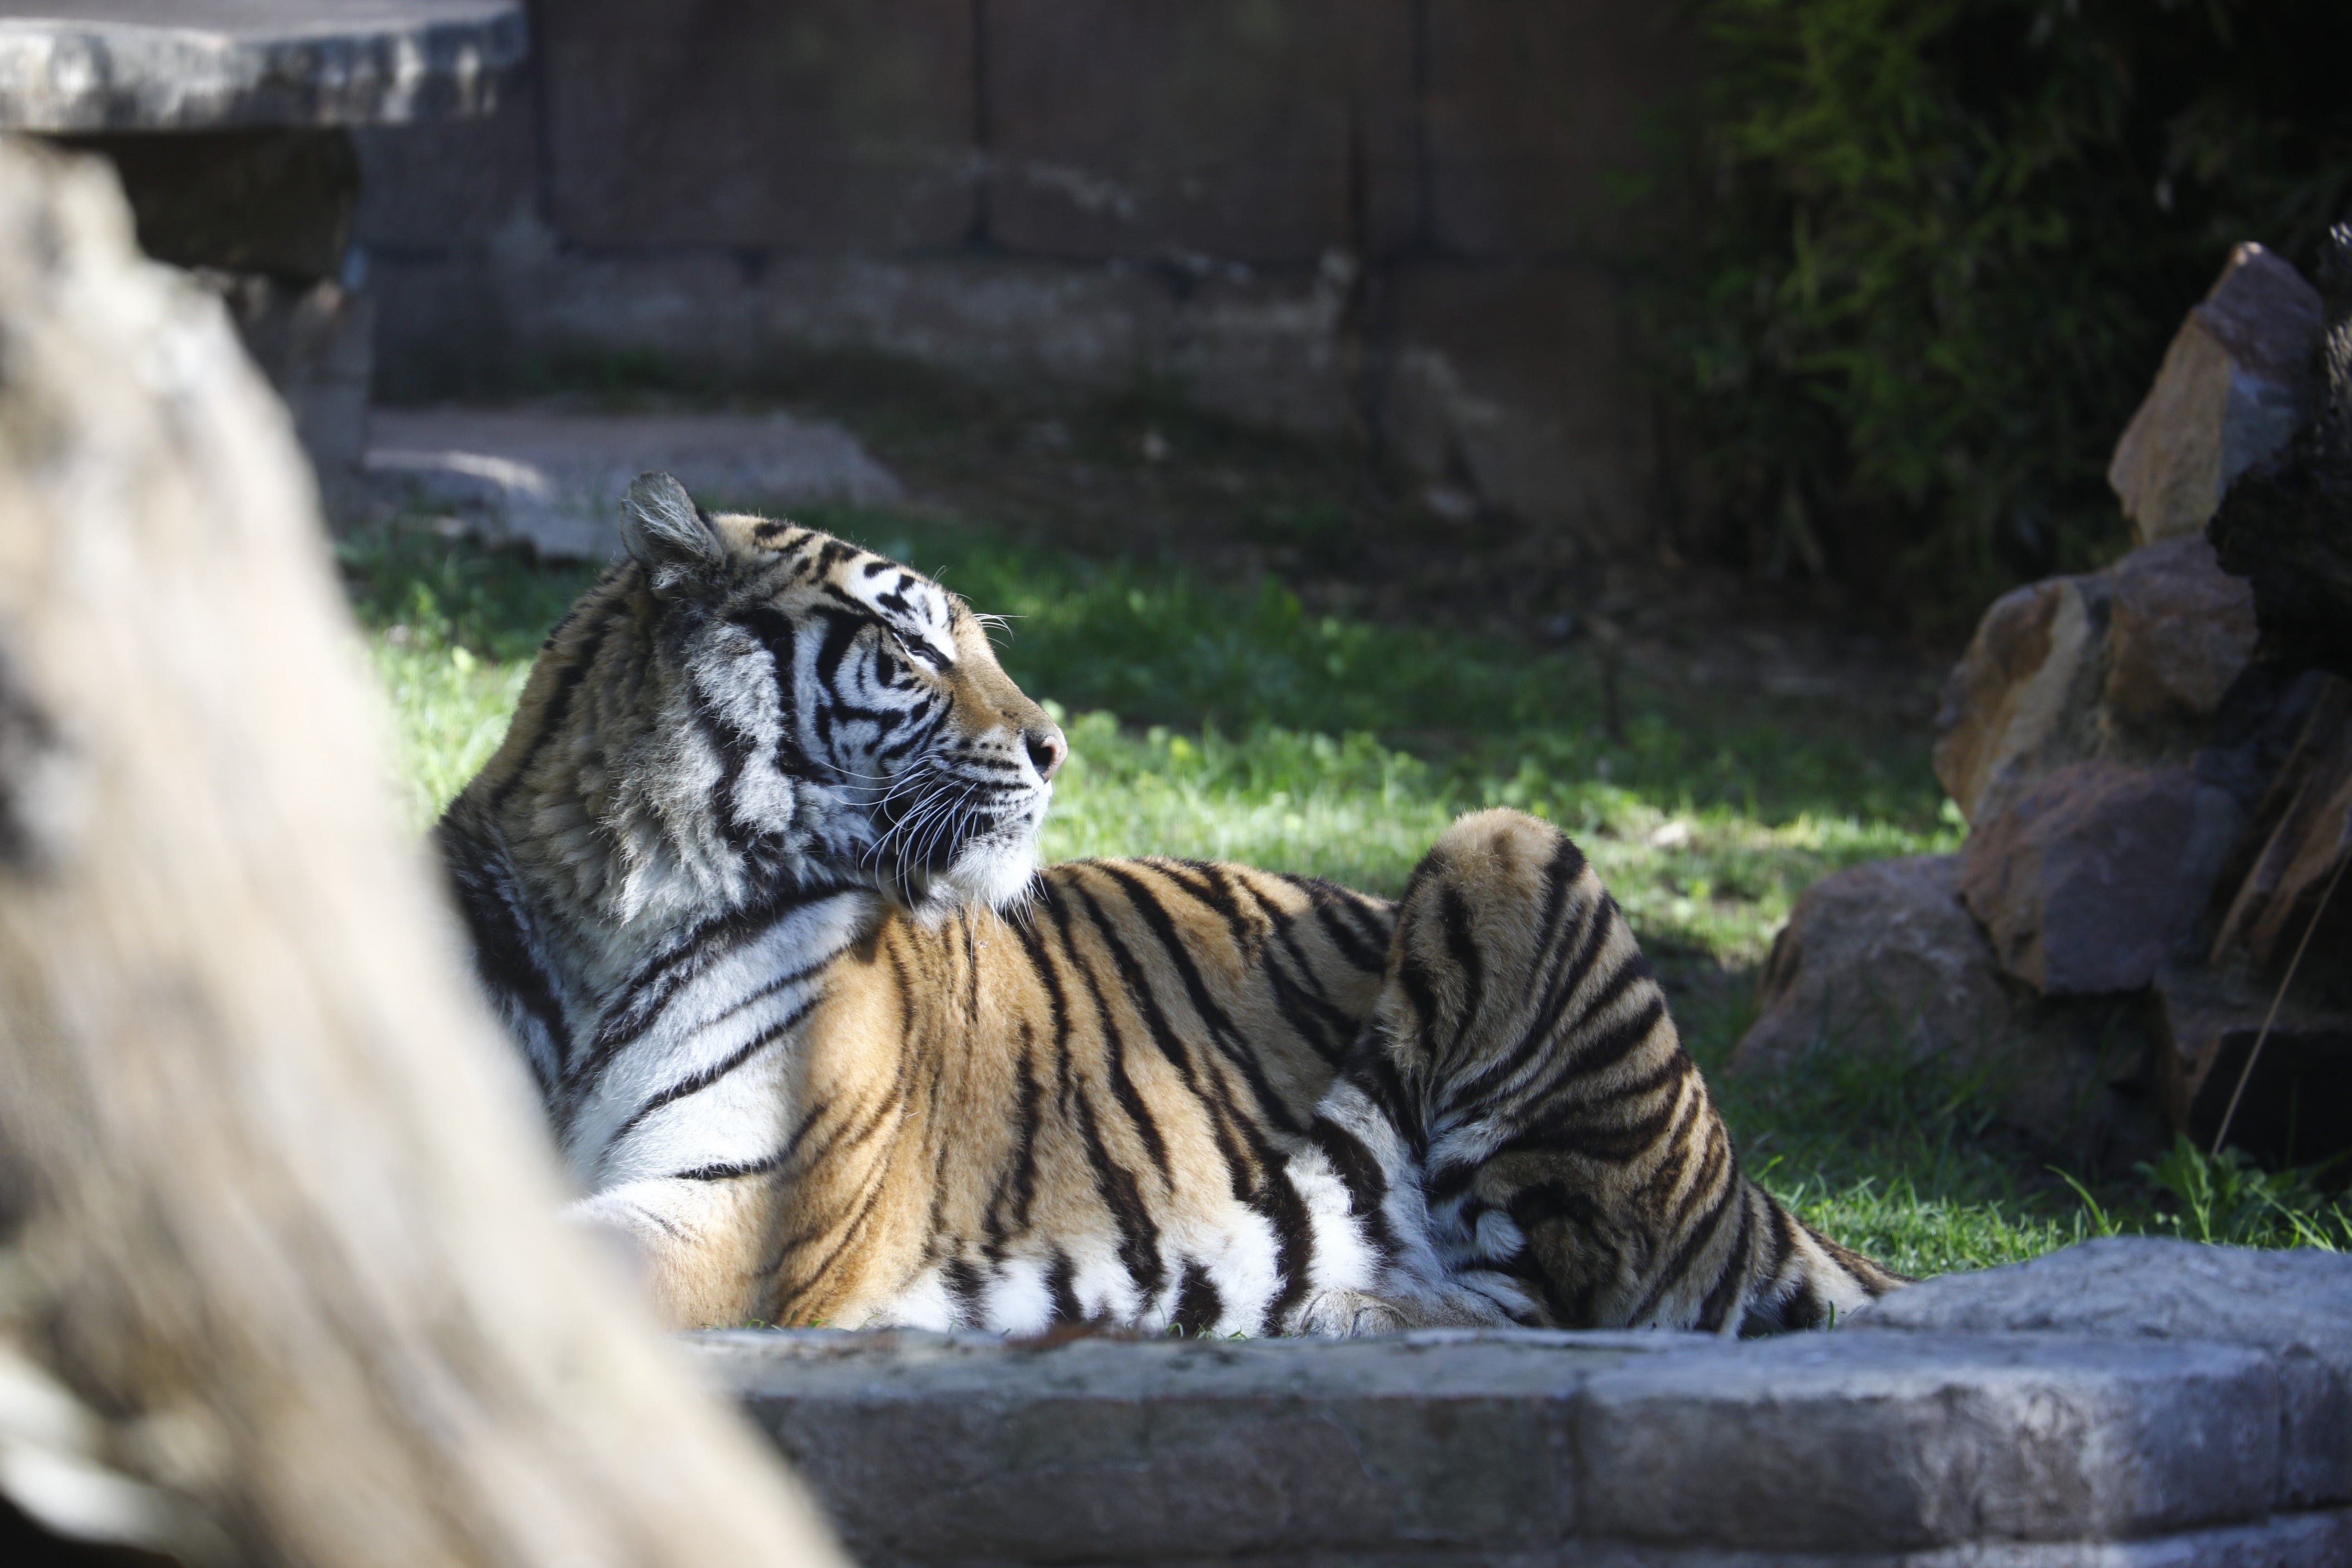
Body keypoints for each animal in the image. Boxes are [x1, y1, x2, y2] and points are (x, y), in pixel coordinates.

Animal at [437, 470, 1909, 1335]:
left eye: (976, 643)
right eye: (912, 647)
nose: (1054, 745)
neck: (614, 898)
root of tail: (1739, 1181)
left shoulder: (738, 1201)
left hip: (1506, 842)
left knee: (1557, 1302)